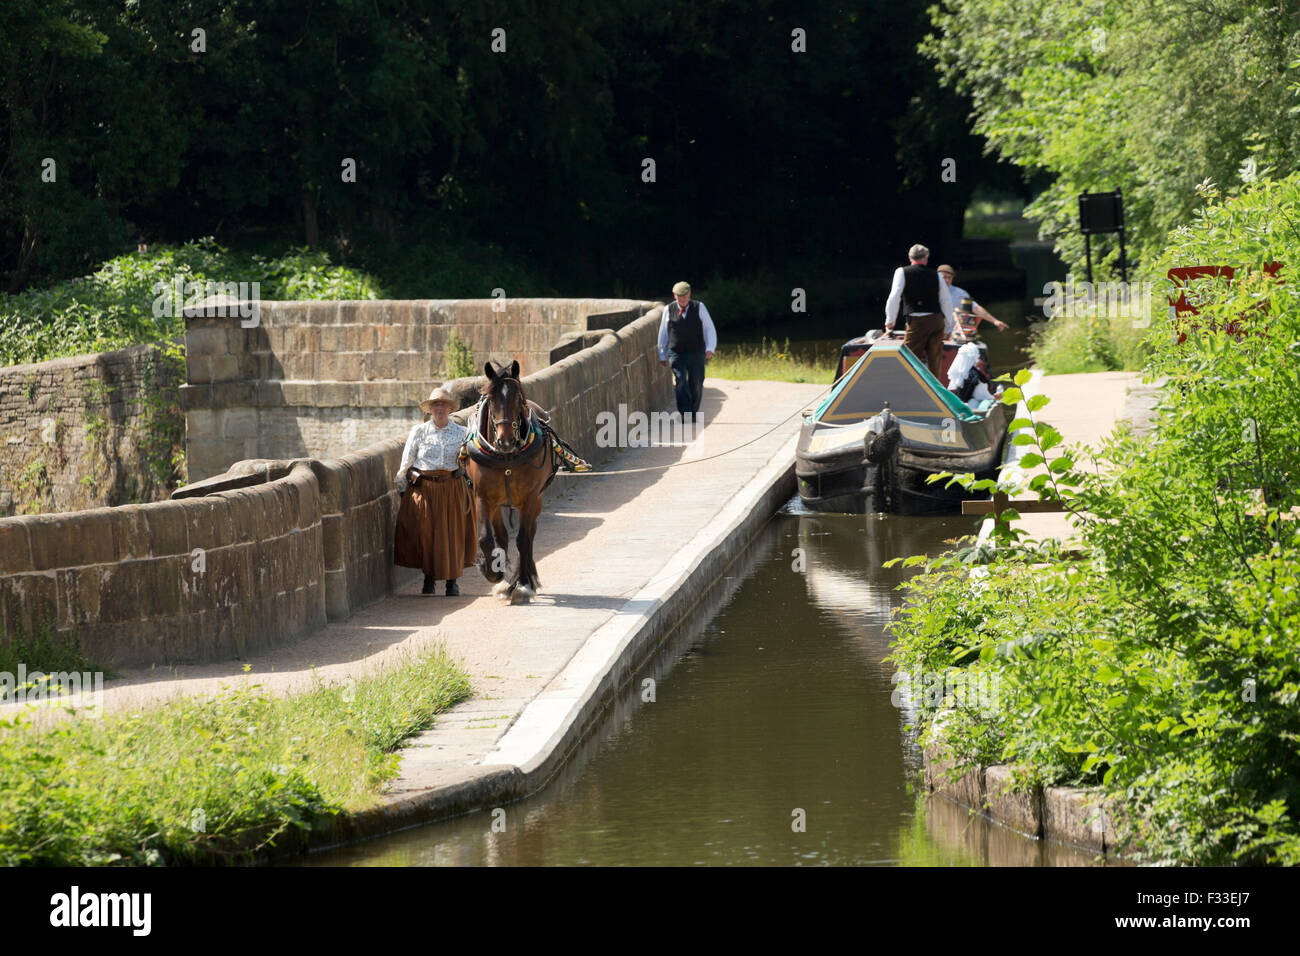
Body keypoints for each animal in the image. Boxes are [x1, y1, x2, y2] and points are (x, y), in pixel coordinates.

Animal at [462, 361, 553, 600]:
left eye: (518, 398)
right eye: (491, 399)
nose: (506, 440)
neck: (505, 458)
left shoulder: (530, 497)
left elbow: (523, 539)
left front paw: (523, 583)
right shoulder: (482, 497)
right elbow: (486, 538)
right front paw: (492, 571)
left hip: (537, 499)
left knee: (529, 534)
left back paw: (526, 577)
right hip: (497, 504)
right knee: (501, 535)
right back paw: (503, 578)